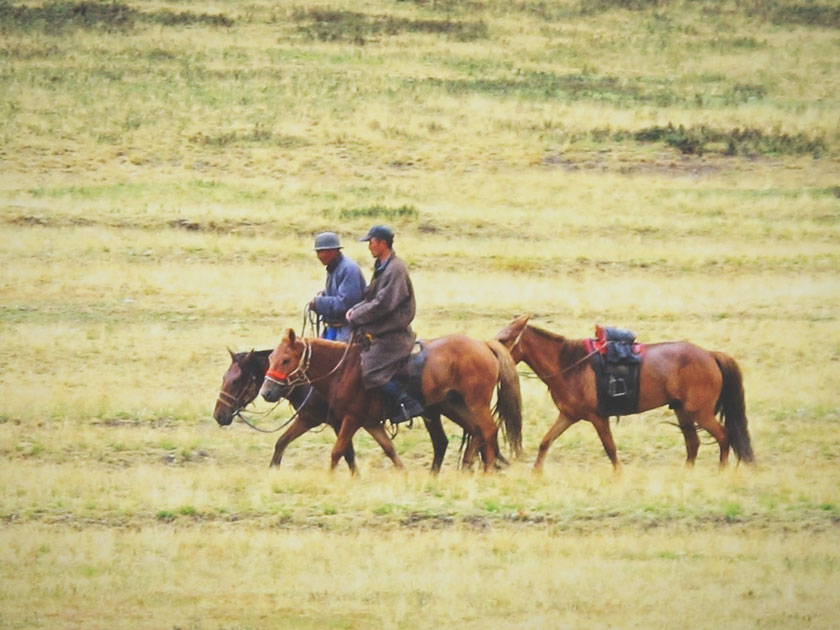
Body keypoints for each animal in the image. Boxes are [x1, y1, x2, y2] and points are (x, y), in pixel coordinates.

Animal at [213, 350, 430, 474]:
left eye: (236, 380)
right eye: (224, 377)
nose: (219, 415)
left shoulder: (338, 422)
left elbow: (347, 453)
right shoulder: (308, 418)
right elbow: (281, 442)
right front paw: (273, 470)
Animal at [260, 330, 520, 474]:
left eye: (285, 360)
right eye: (271, 358)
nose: (267, 392)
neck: (344, 369)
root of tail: (483, 345)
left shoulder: (351, 419)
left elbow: (338, 451)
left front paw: (330, 478)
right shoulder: (369, 422)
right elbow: (389, 449)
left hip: (476, 403)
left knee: (488, 430)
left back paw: (486, 469)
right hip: (454, 405)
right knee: (474, 431)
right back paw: (465, 467)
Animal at [496, 314, 756, 470]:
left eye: (505, 338)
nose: (493, 351)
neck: (571, 364)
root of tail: (710, 355)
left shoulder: (598, 417)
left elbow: (610, 448)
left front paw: (618, 475)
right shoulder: (568, 415)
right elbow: (545, 442)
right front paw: (536, 473)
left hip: (699, 412)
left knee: (724, 436)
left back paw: (721, 470)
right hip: (682, 410)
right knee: (693, 443)